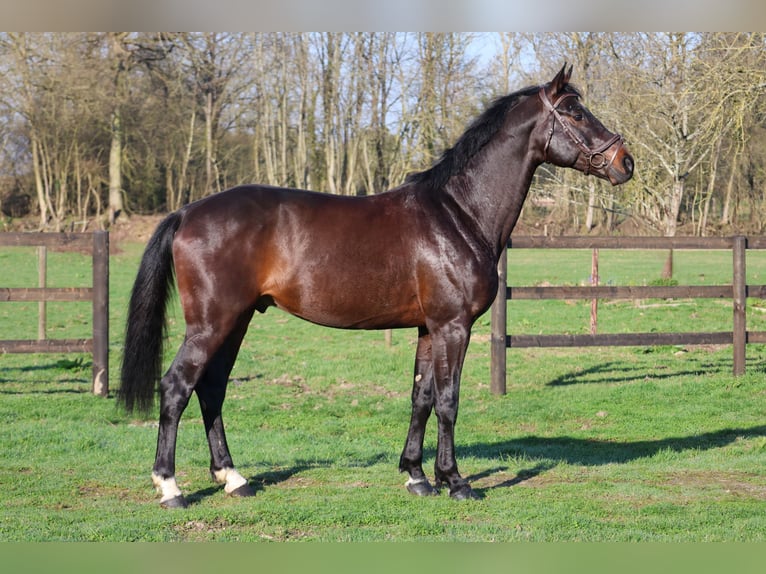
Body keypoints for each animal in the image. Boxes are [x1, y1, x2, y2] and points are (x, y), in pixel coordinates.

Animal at [118, 64, 633, 508]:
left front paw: (417, 476)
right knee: (177, 387)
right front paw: (455, 481)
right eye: (574, 112)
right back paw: (170, 486)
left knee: (212, 389)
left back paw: (233, 478)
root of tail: (188, 212)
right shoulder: (453, 327)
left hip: (237, 321)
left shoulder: (428, 329)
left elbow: (421, 398)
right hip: (211, 324)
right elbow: (448, 400)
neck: (458, 214)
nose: (625, 162)